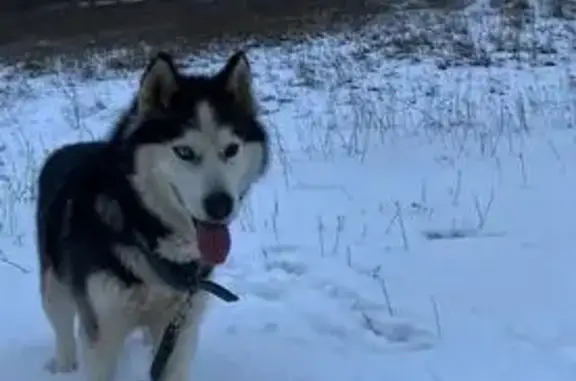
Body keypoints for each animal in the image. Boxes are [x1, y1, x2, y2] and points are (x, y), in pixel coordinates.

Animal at [36, 51, 270, 380]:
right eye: (184, 152)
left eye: (231, 150)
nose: (221, 205)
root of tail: (66, 149)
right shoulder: (102, 331)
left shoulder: (182, 324)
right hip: (53, 286)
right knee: (62, 328)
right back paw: (64, 364)